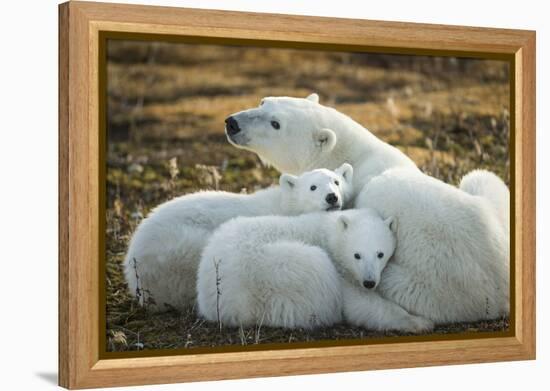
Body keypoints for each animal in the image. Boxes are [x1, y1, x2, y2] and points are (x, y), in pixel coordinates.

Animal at [226, 94, 512, 324]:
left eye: (276, 123)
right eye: (263, 101)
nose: (232, 123)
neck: (354, 155)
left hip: (433, 289)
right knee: (480, 178)